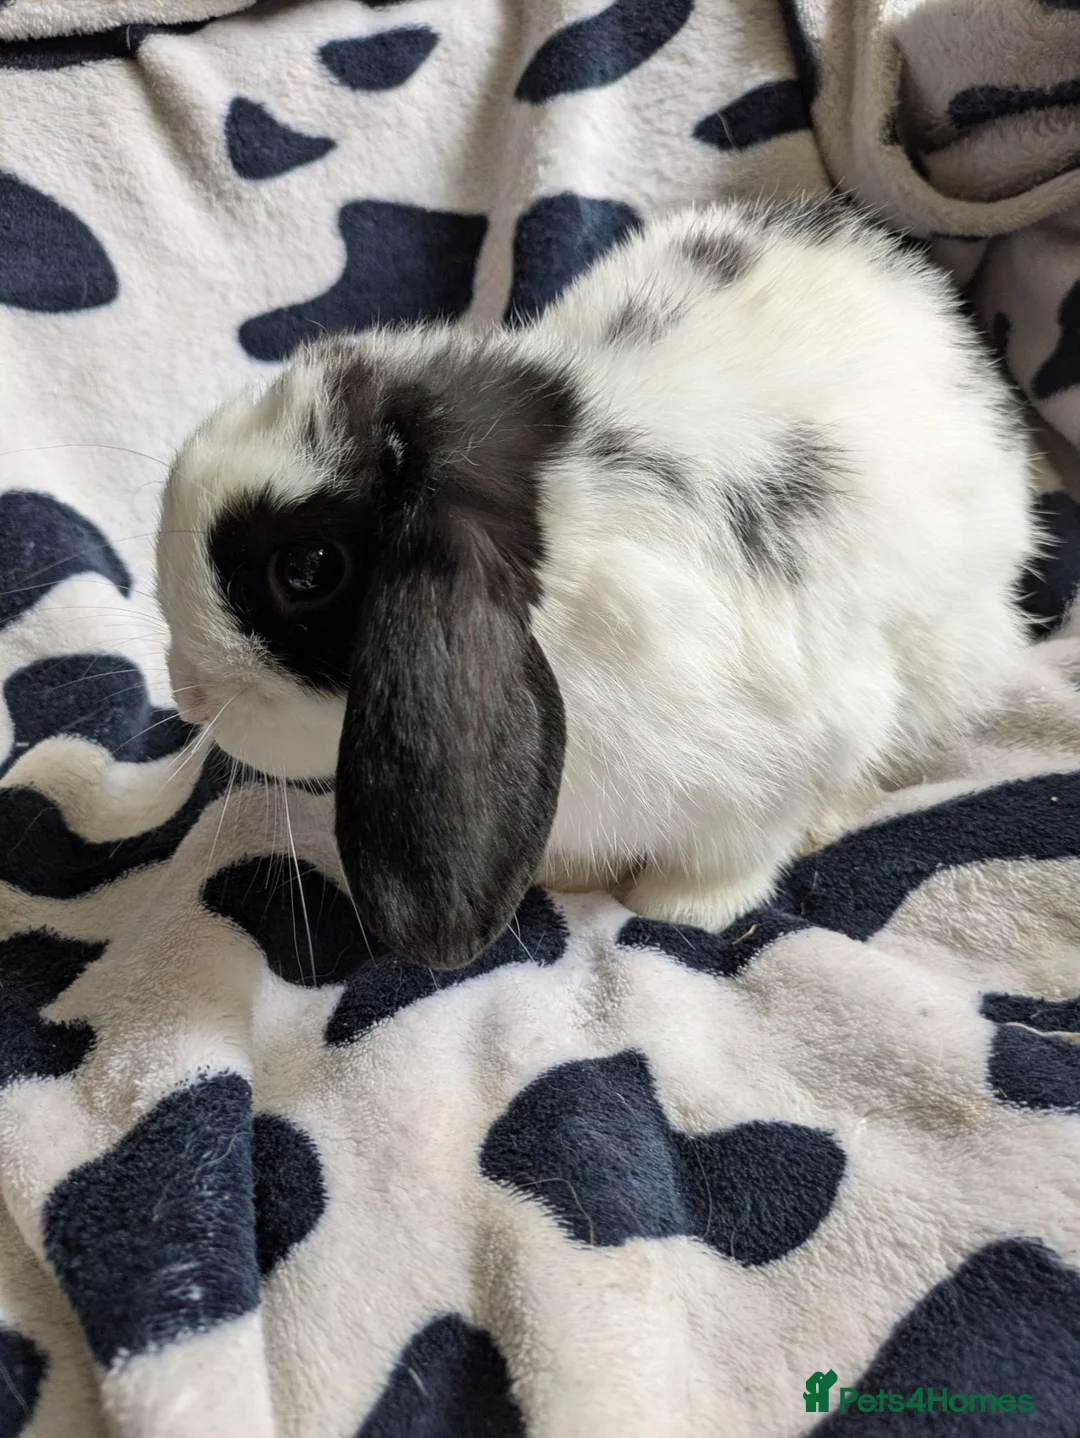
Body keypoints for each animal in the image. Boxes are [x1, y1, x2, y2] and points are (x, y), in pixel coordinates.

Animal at [156, 194, 1040, 971]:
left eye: (307, 570)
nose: (188, 695)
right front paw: (567, 876)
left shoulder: (801, 738)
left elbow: (739, 849)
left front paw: (680, 907)